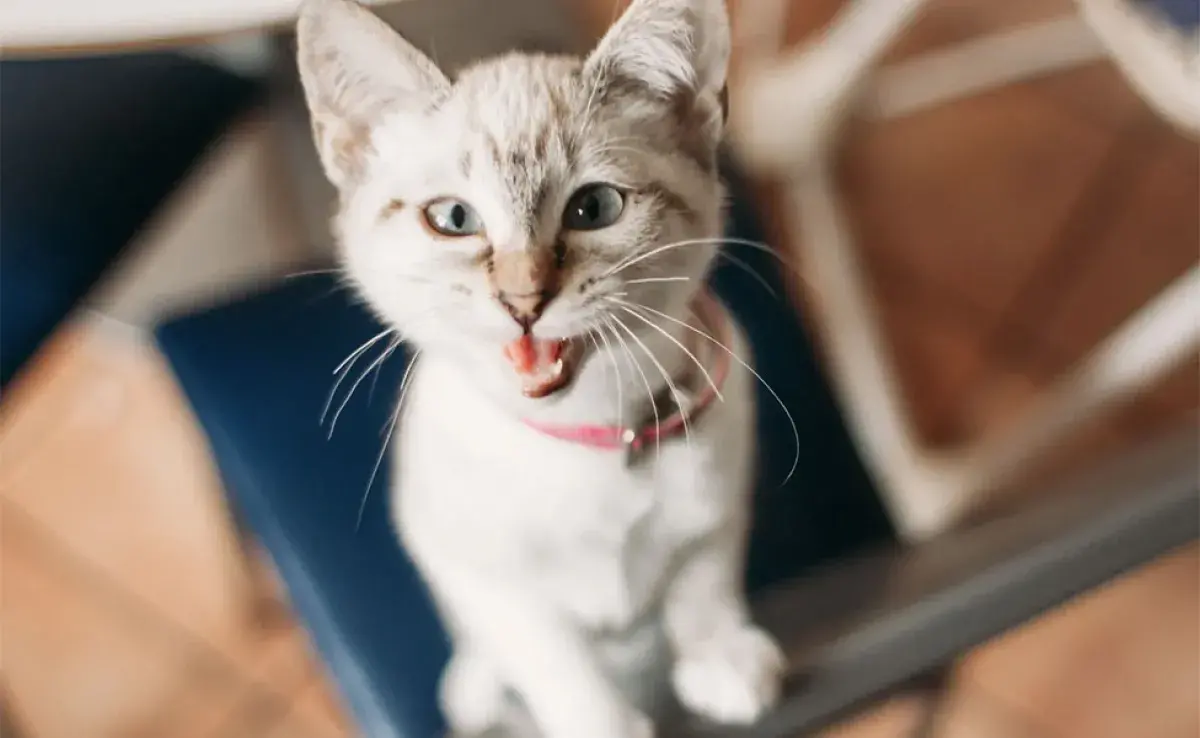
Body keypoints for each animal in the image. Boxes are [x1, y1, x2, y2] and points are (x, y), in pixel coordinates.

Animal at [297, 0, 787, 734]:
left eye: (595, 208)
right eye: (453, 218)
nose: (523, 298)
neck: (589, 437)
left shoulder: (721, 495)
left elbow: (703, 579)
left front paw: (720, 658)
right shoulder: (476, 569)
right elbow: (550, 655)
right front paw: (600, 721)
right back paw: (473, 688)